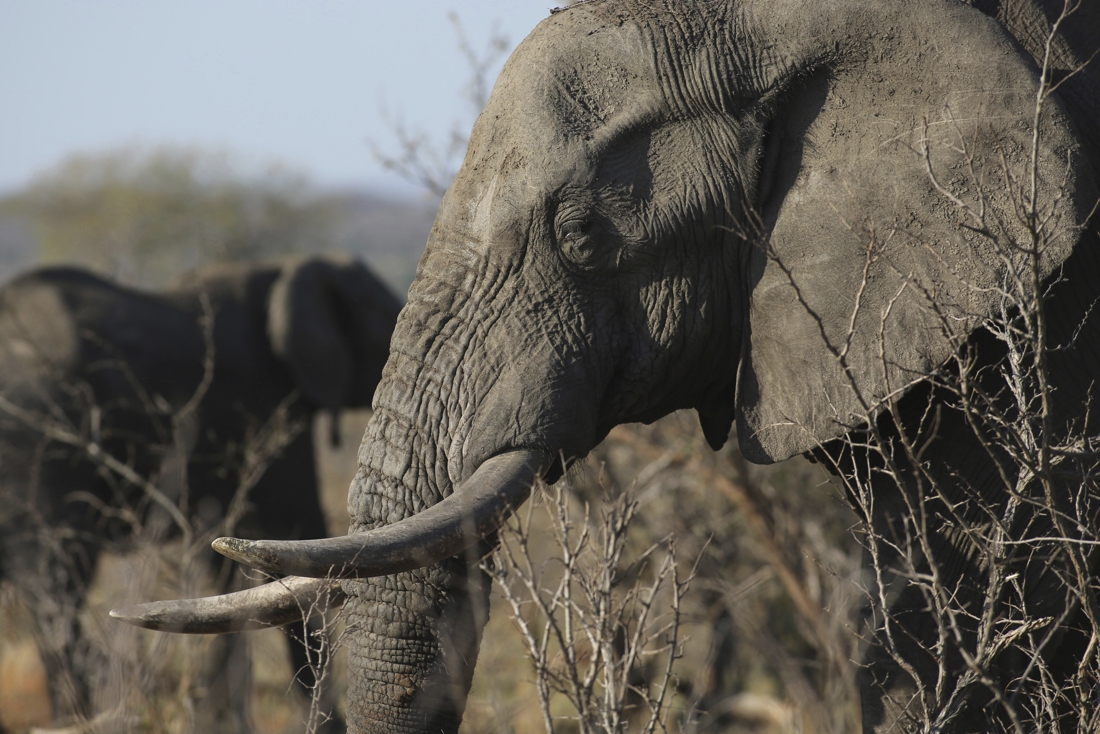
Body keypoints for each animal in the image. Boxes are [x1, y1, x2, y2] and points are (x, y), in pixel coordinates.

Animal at [0, 254, 402, 730]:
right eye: (385, 318)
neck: (283, 271)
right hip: (38, 439)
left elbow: (225, 565)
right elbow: (294, 530)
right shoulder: (269, 404)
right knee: (54, 588)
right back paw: (81, 718)